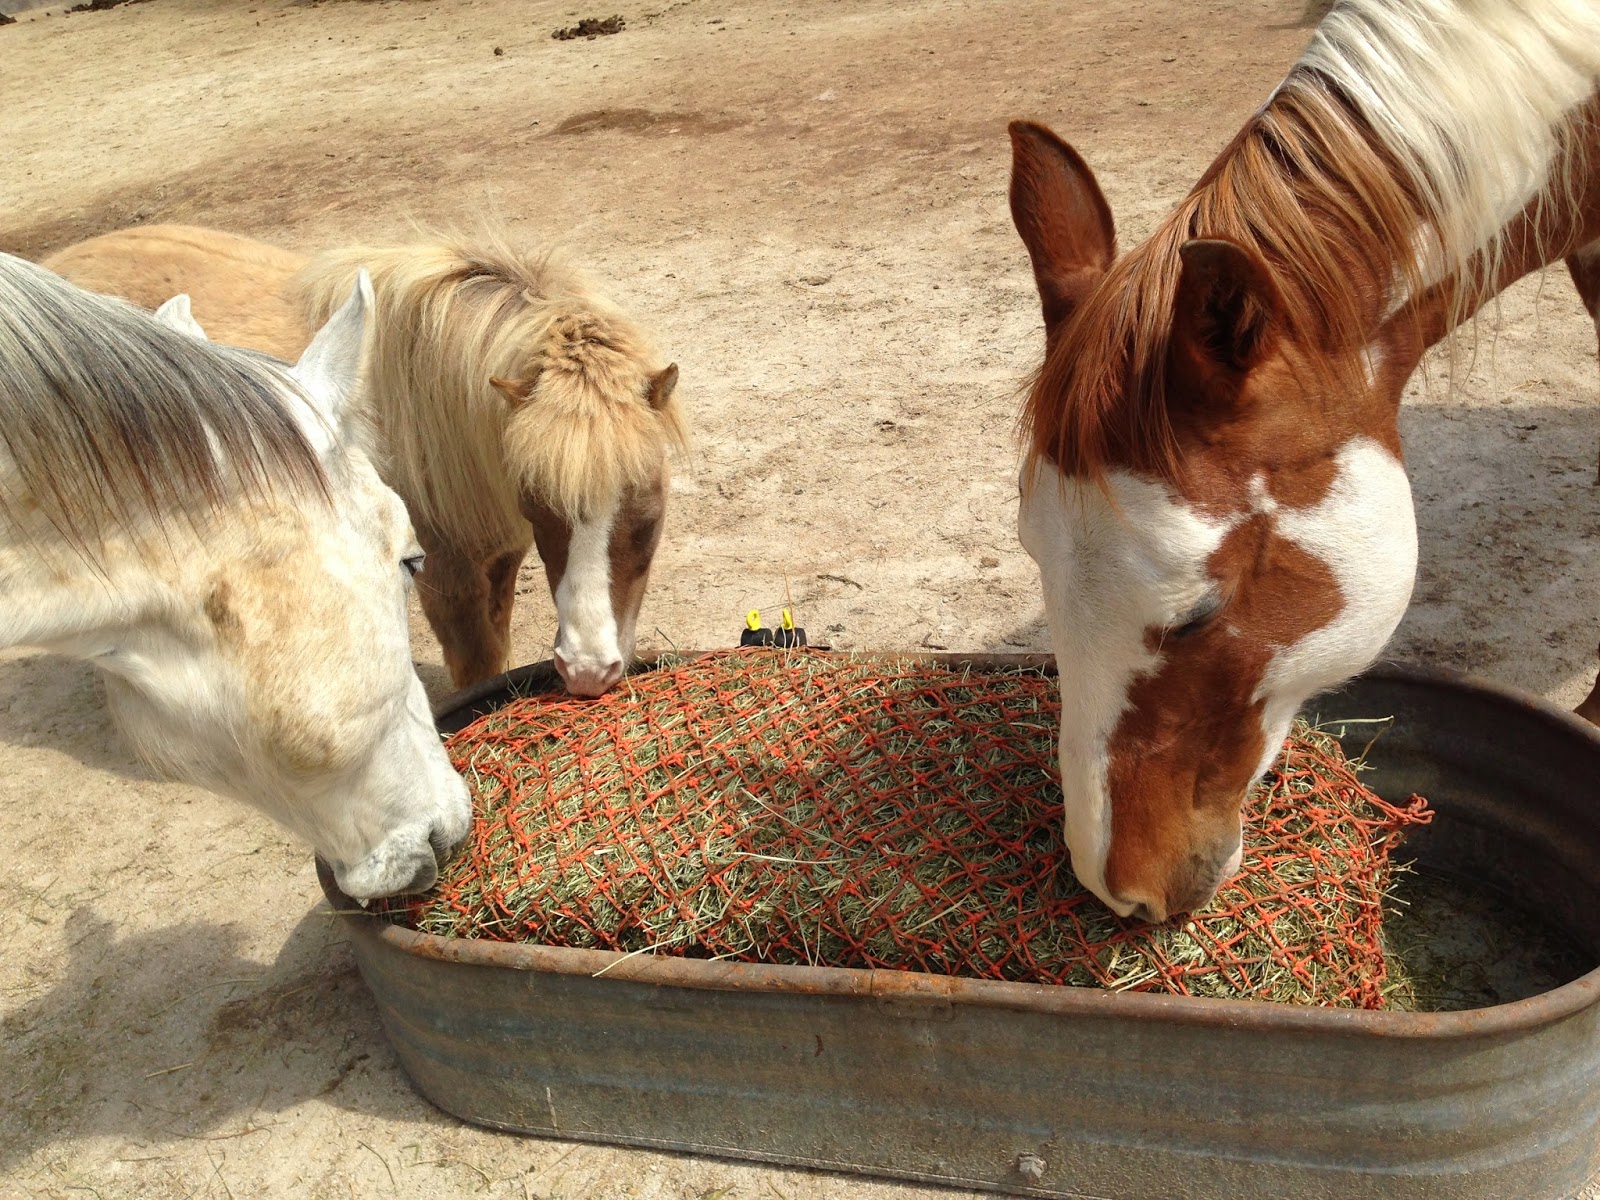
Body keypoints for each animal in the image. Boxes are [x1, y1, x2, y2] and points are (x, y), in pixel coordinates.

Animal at [42, 224, 689, 695]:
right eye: (545, 513)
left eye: (648, 521)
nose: (588, 672)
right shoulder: (445, 577)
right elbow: (475, 667)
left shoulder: (499, 555)